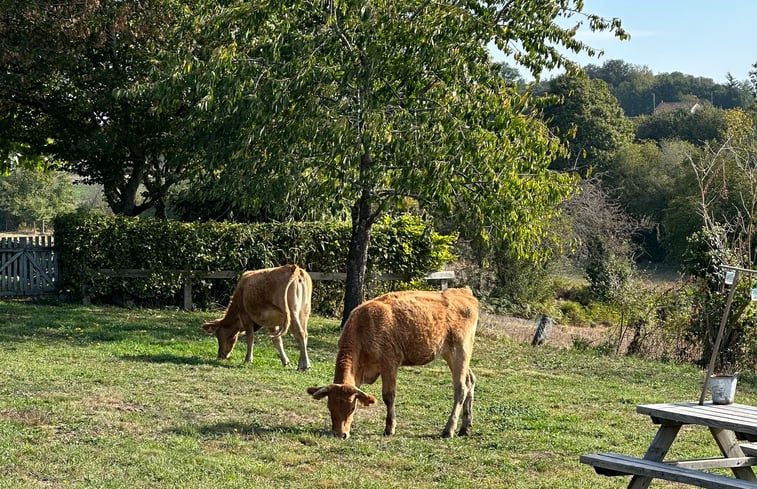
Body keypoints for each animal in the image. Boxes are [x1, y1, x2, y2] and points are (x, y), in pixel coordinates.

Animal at [308, 286, 478, 438]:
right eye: (330, 407)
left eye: (352, 408)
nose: (340, 434)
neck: (364, 327)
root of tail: (463, 292)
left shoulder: (389, 364)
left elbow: (388, 396)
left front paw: (389, 429)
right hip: (451, 355)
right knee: (470, 380)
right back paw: (465, 428)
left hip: (460, 352)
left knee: (460, 388)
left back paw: (449, 430)